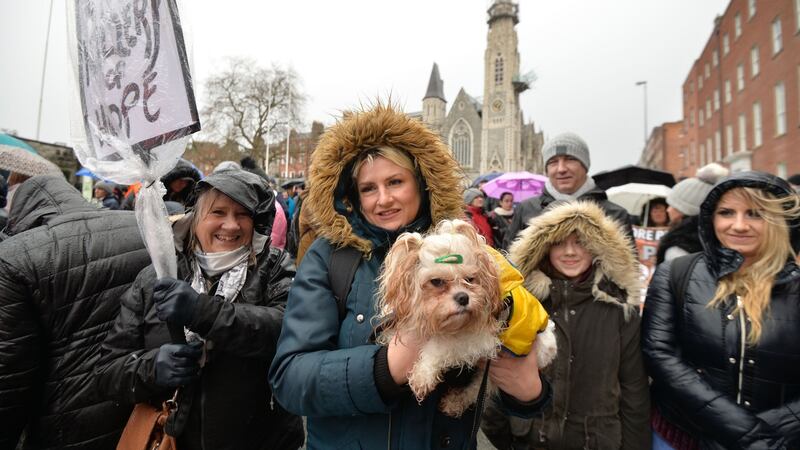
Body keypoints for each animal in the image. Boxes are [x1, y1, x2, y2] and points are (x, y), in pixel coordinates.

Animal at [376, 220, 552, 416]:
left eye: (470, 279)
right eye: (436, 281)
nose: (463, 297)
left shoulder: (480, 340)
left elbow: (441, 346)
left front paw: (423, 375)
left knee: (478, 390)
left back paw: (456, 401)